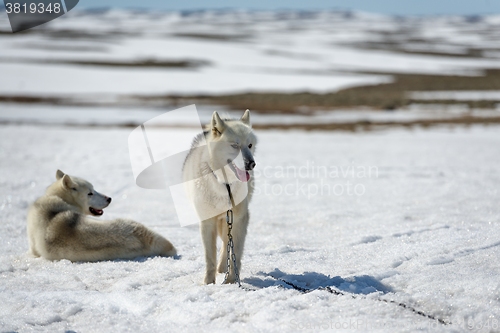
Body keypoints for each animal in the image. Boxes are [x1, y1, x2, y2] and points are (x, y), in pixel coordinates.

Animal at [183, 109, 258, 282]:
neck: (225, 184)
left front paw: (230, 280)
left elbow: (235, 250)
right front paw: (208, 283)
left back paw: (223, 268)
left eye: (249, 145)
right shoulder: (207, 222)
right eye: (235, 146)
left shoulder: (240, 218)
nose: (251, 164)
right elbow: (209, 257)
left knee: (226, 244)